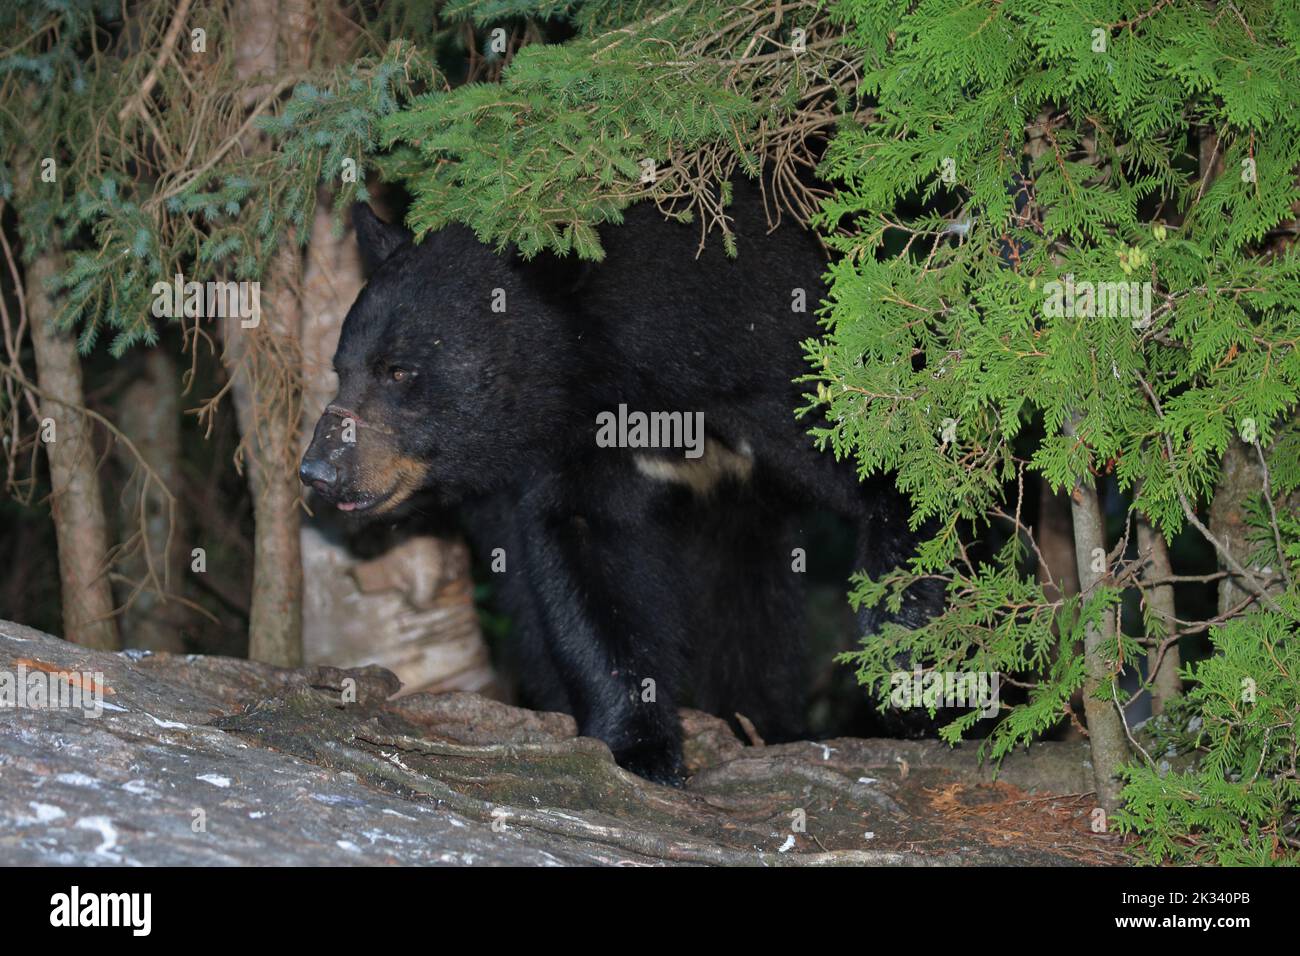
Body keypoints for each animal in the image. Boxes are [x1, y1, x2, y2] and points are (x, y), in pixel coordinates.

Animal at [299, 180, 941, 785]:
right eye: (341, 369)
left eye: (398, 370)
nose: (318, 470)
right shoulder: (582, 455)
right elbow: (589, 571)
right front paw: (640, 748)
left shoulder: (780, 377)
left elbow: (902, 464)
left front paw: (905, 666)